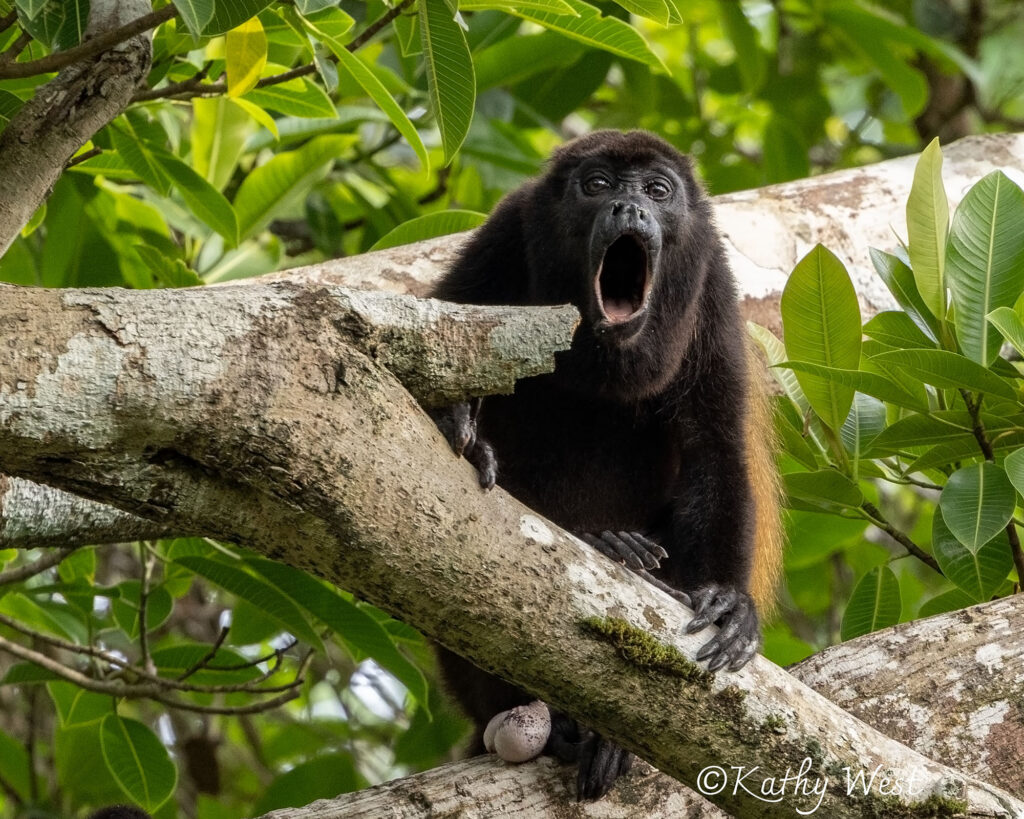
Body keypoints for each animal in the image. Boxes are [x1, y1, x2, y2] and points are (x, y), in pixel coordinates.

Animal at [429, 129, 782, 800]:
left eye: (657, 191)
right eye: (596, 186)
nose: (629, 208)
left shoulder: (712, 286)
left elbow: (715, 449)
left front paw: (729, 603)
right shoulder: (504, 234)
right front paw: (453, 418)